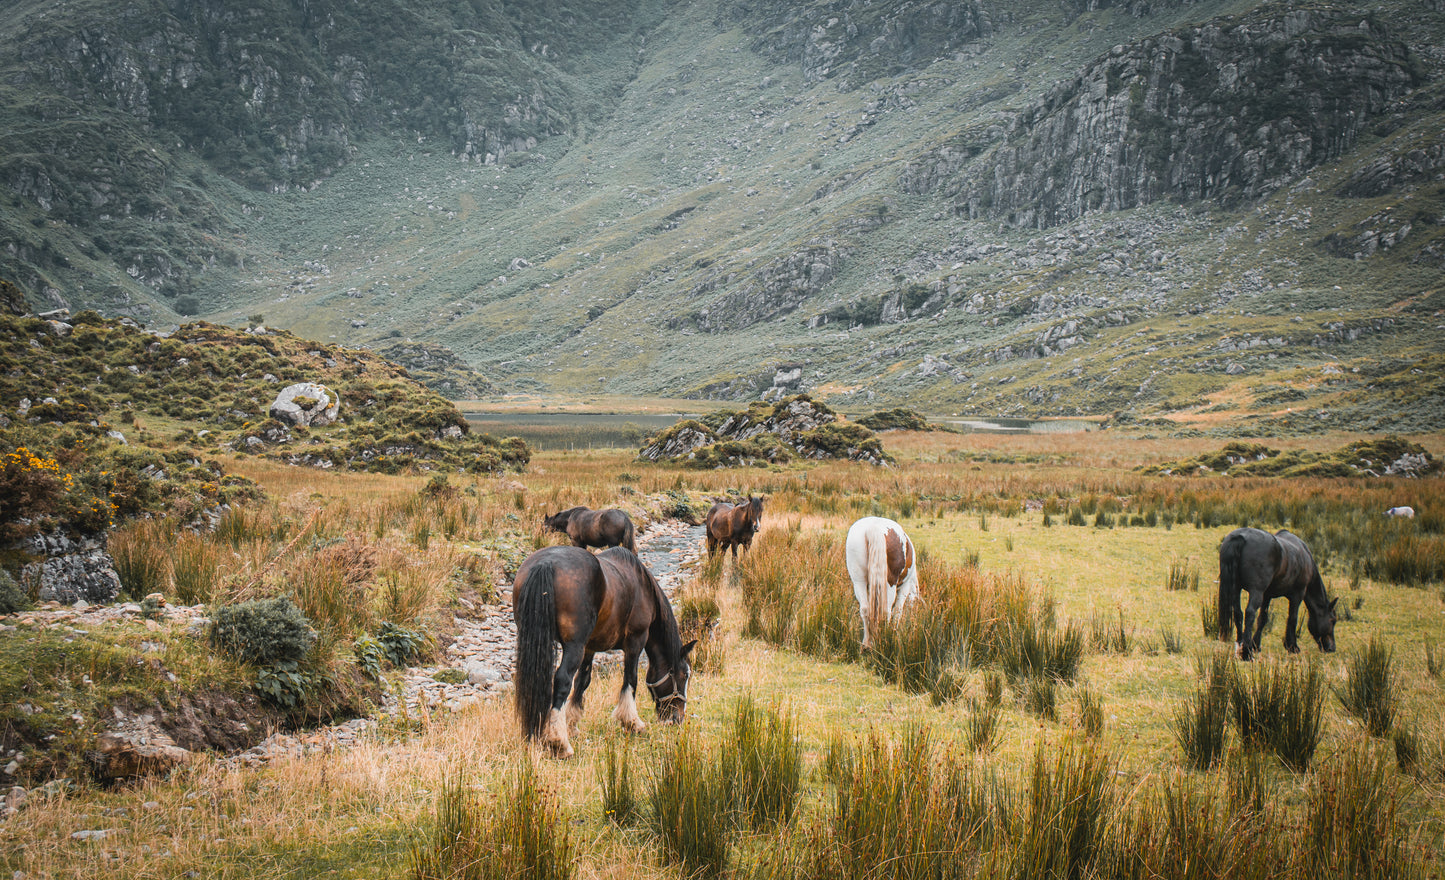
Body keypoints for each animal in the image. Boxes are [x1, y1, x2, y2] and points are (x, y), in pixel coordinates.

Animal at [513, 544, 695, 758]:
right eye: (684, 675)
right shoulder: (635, 641)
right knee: (562, 681)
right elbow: (631, 679)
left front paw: (572, 724)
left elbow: (583, 682)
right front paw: (632, 722)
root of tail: (545, 563)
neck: (641, 584)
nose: (677, 718)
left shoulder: (589, 648)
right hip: (574, 646)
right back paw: (559, 743)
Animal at [844, 516, 922, 650]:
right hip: (889, 584)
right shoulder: (905, 587)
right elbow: (898, 611)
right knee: (886, 612)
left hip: (859, 581)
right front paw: (895, 633)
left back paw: (867, 644)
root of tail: (873, 527)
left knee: (865, 609)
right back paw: (885, 640)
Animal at [1217, 527, 1337, 661]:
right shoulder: (1298, 595)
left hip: (1236, 588)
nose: (1332, 648)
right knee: (1250, 613)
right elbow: (1292, 618)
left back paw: (1239, 648)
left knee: (1238, 613)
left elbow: (1263, 619)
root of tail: (1240, 536)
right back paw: (1247, 654)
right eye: (1333, 620)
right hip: (1256, 591)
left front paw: (1256, 645)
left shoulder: (1267, 595)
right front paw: (1292, 647)